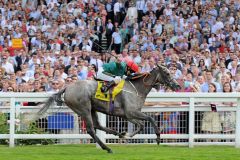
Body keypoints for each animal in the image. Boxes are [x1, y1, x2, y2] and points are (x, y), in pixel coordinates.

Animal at [38, 63, 180, 152]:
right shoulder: (131, 112)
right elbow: (149, 120)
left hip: (92, 109)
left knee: (98, 125)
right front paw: (157, 137)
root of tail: (67, 87)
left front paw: (127, 134)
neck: (136, 89)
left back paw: (118, 134)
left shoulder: (128, 115)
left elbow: (141, 124)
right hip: (83, 109)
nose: (177, 85)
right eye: (167, 73)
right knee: (91, 129)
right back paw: (107, 147)